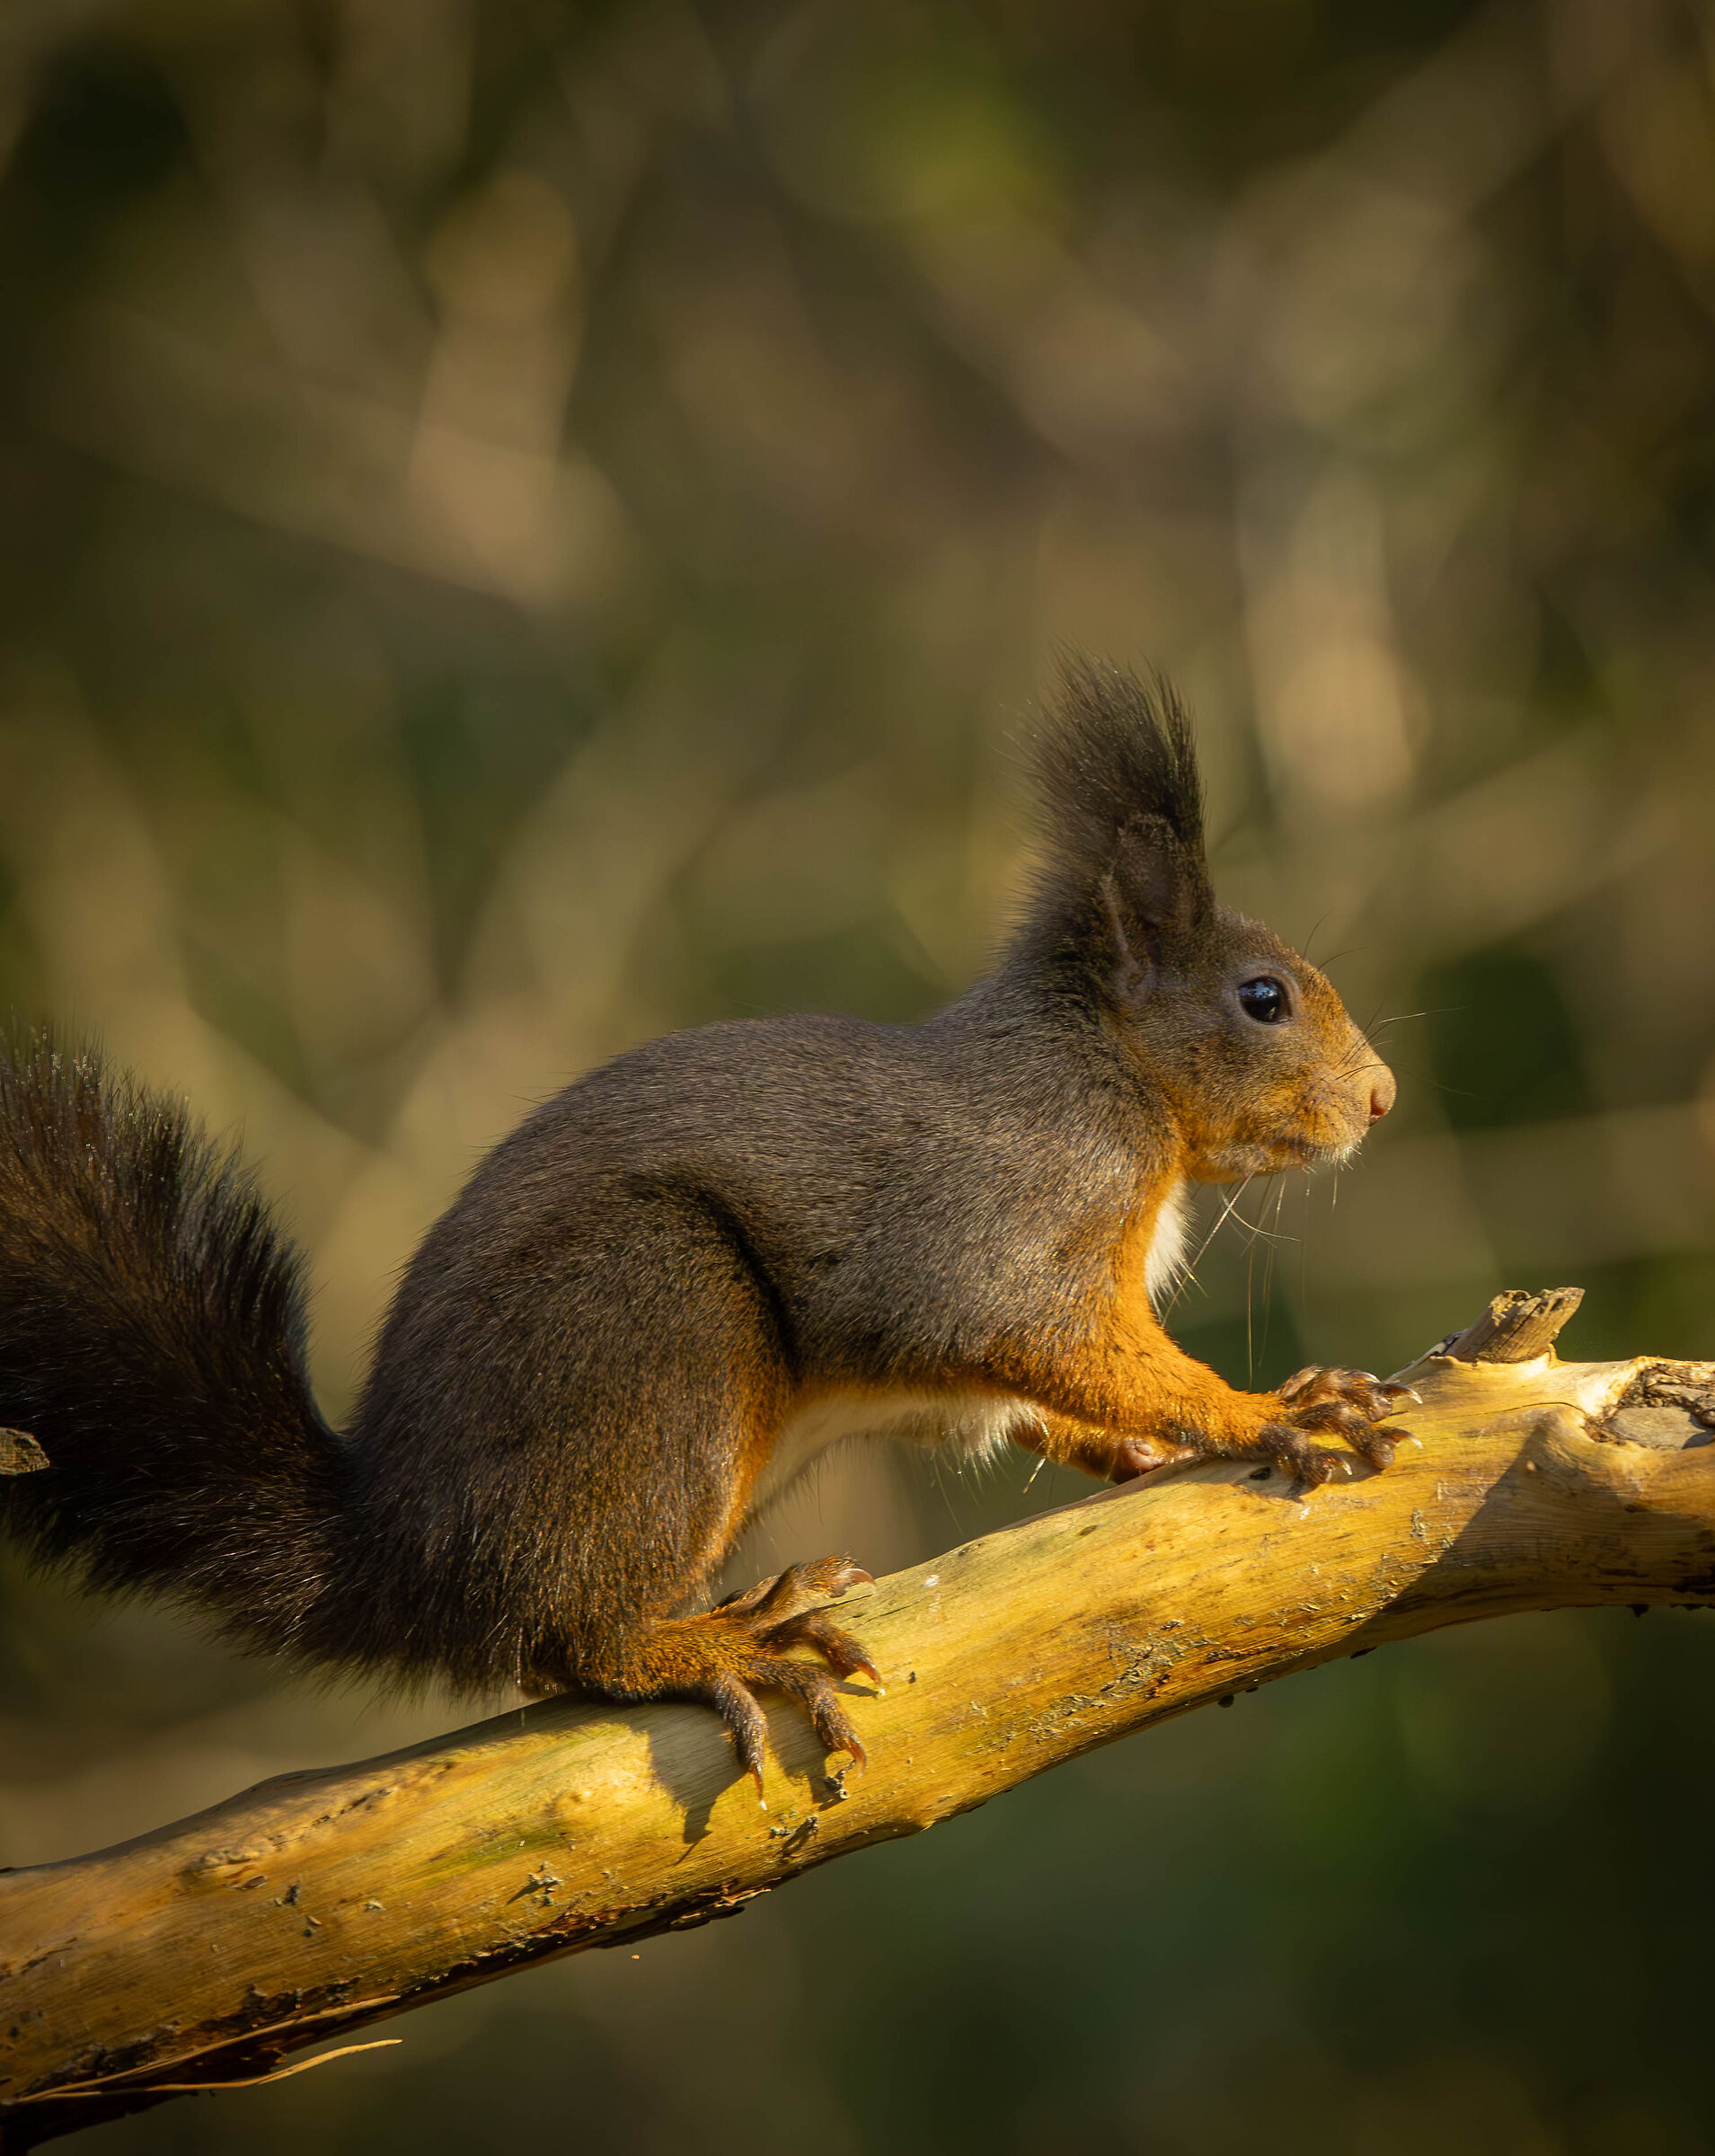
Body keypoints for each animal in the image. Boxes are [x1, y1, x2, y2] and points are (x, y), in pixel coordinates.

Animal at [0, 658, 1406, 1795]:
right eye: (1263, 999)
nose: (1383, 1098)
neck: (1115, 1078)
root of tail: (395, 1553)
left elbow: (1039, 1401)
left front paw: (1166, 1438)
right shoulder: (1002, 1220)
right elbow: (1053, 1342)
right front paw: (1260, 1412)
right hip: (652, 1324)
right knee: (566, 1643)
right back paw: (737, 1640)